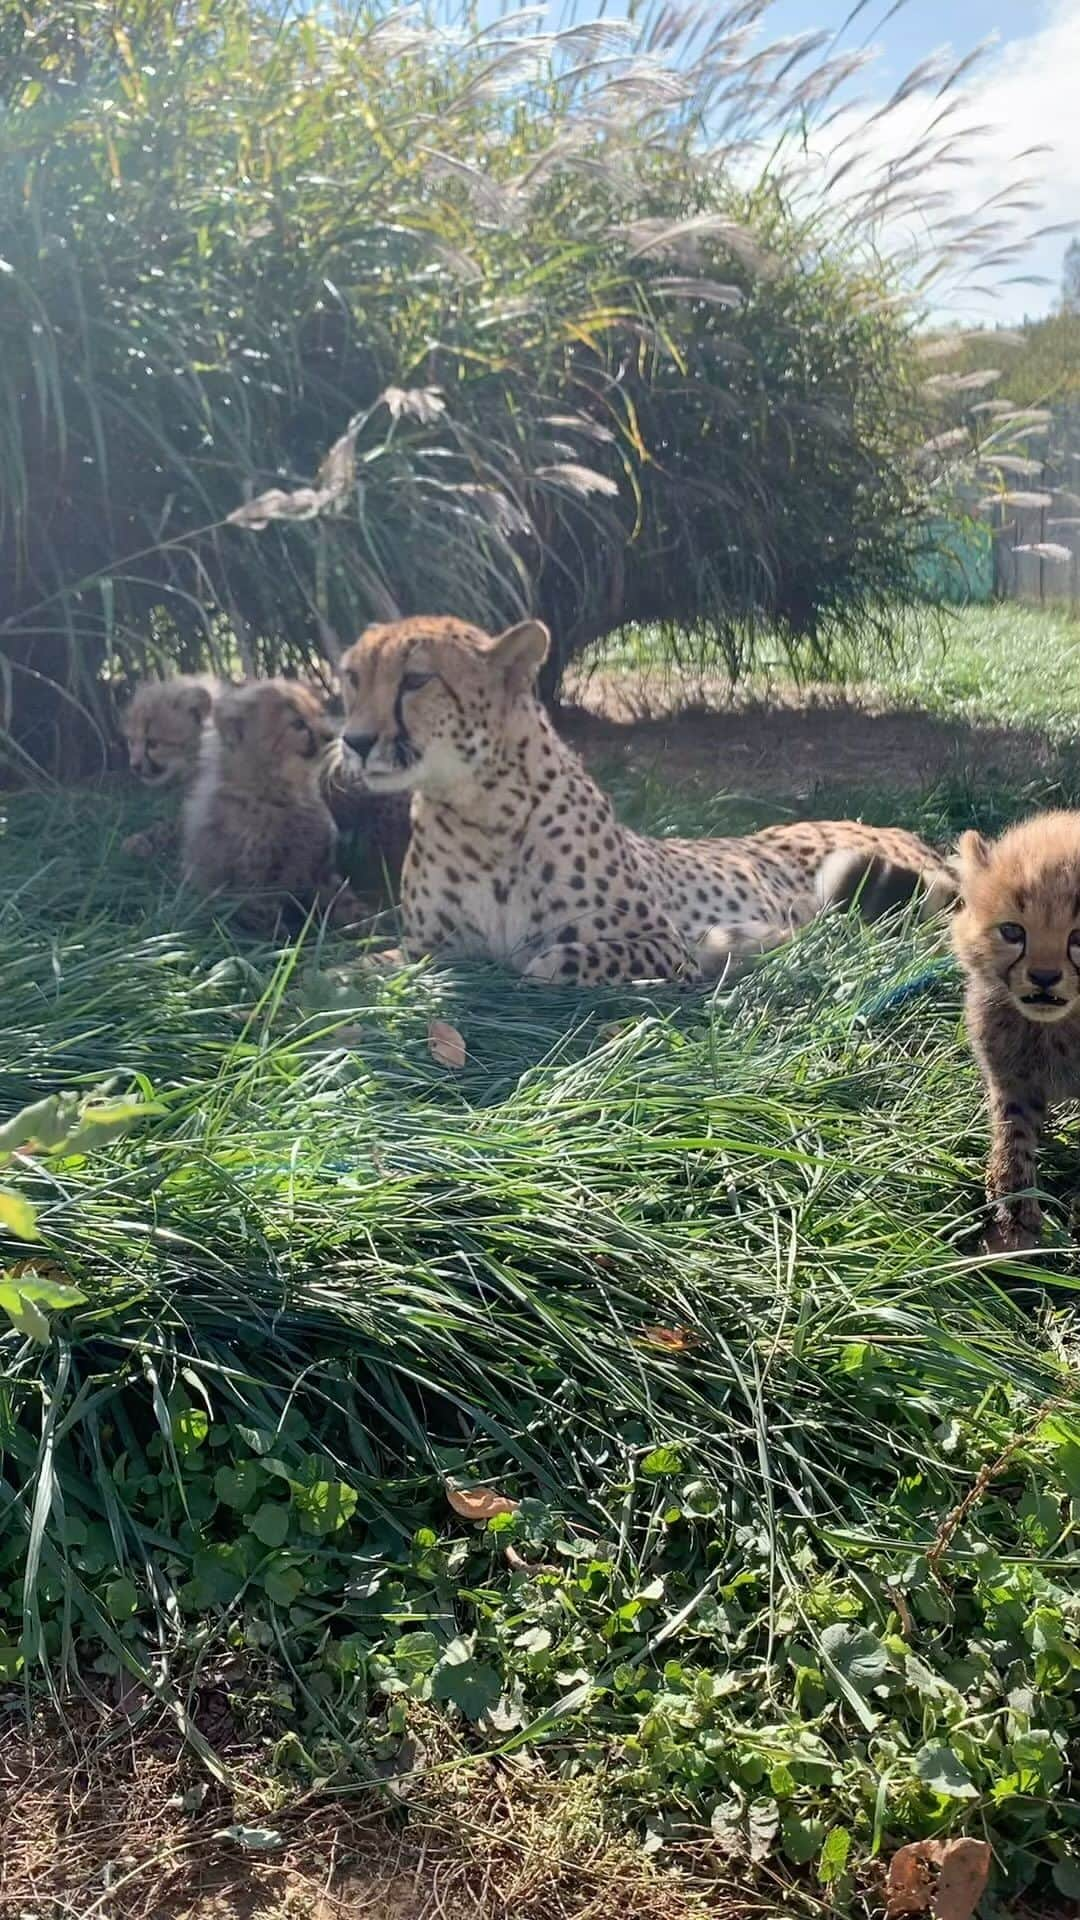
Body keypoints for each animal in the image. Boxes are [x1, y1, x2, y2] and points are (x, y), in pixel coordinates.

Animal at [336, 614, 949, 983]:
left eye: (416, 680)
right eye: (352, 677)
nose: (354, 741)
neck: (475, 808)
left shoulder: (661, 942)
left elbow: (555, 960)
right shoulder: (427, 947)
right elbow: (365, 966)